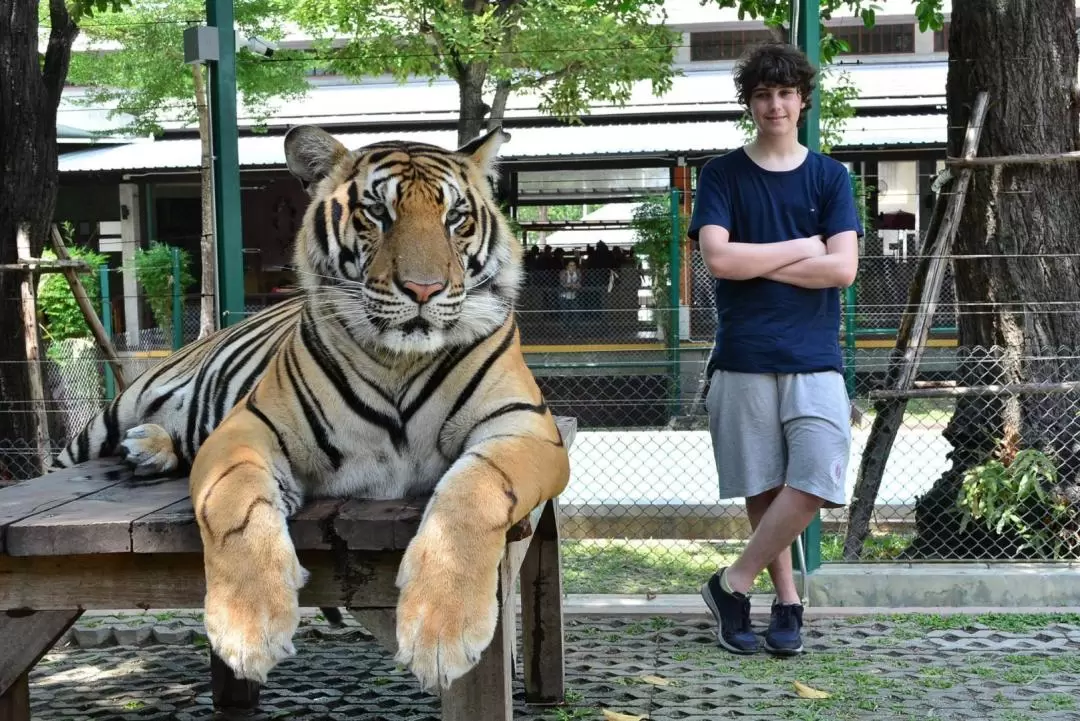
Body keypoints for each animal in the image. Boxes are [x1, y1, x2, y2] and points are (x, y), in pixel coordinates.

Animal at [48, 124, 574, 690]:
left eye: (454, 217)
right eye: (377, 212)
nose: (424, 289)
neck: (399, 361)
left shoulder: (525, 427)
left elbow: (473, 495)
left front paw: (441, 631)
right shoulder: (247, 428)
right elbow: (235, 505)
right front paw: (248, 628)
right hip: (116, 412)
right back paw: (143, 445)